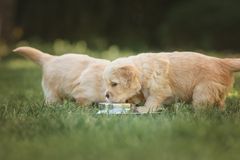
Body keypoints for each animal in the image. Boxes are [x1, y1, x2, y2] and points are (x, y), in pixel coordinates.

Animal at [103, 52, 240, 113]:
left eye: (114, 84)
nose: (106, 95)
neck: (143, 69)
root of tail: (222, 62)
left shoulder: (159, 89)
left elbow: (152, 100)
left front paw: (144, 109)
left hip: (202, 90)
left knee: (202, 106)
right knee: (220, 103)